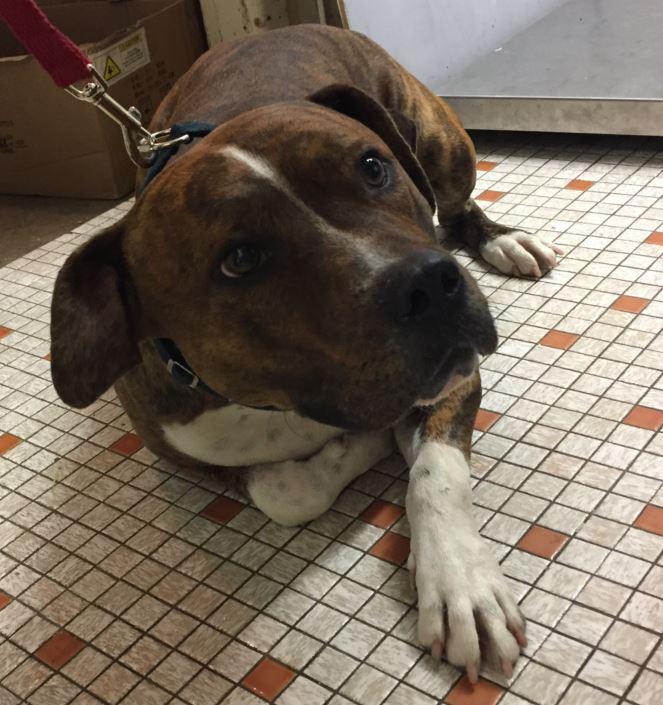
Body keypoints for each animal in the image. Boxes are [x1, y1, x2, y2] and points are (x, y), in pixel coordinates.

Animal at [50, 24, 562, 680]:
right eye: (240, 259)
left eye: (372, 167)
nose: (429, 283)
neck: (283, 400)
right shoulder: (186, 450)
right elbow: (287, 492)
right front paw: (358, 446)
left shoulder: (454, 378)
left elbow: (436, 475)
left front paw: (461, 583)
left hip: (443, 146)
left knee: (455, 203)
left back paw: (504, 240)